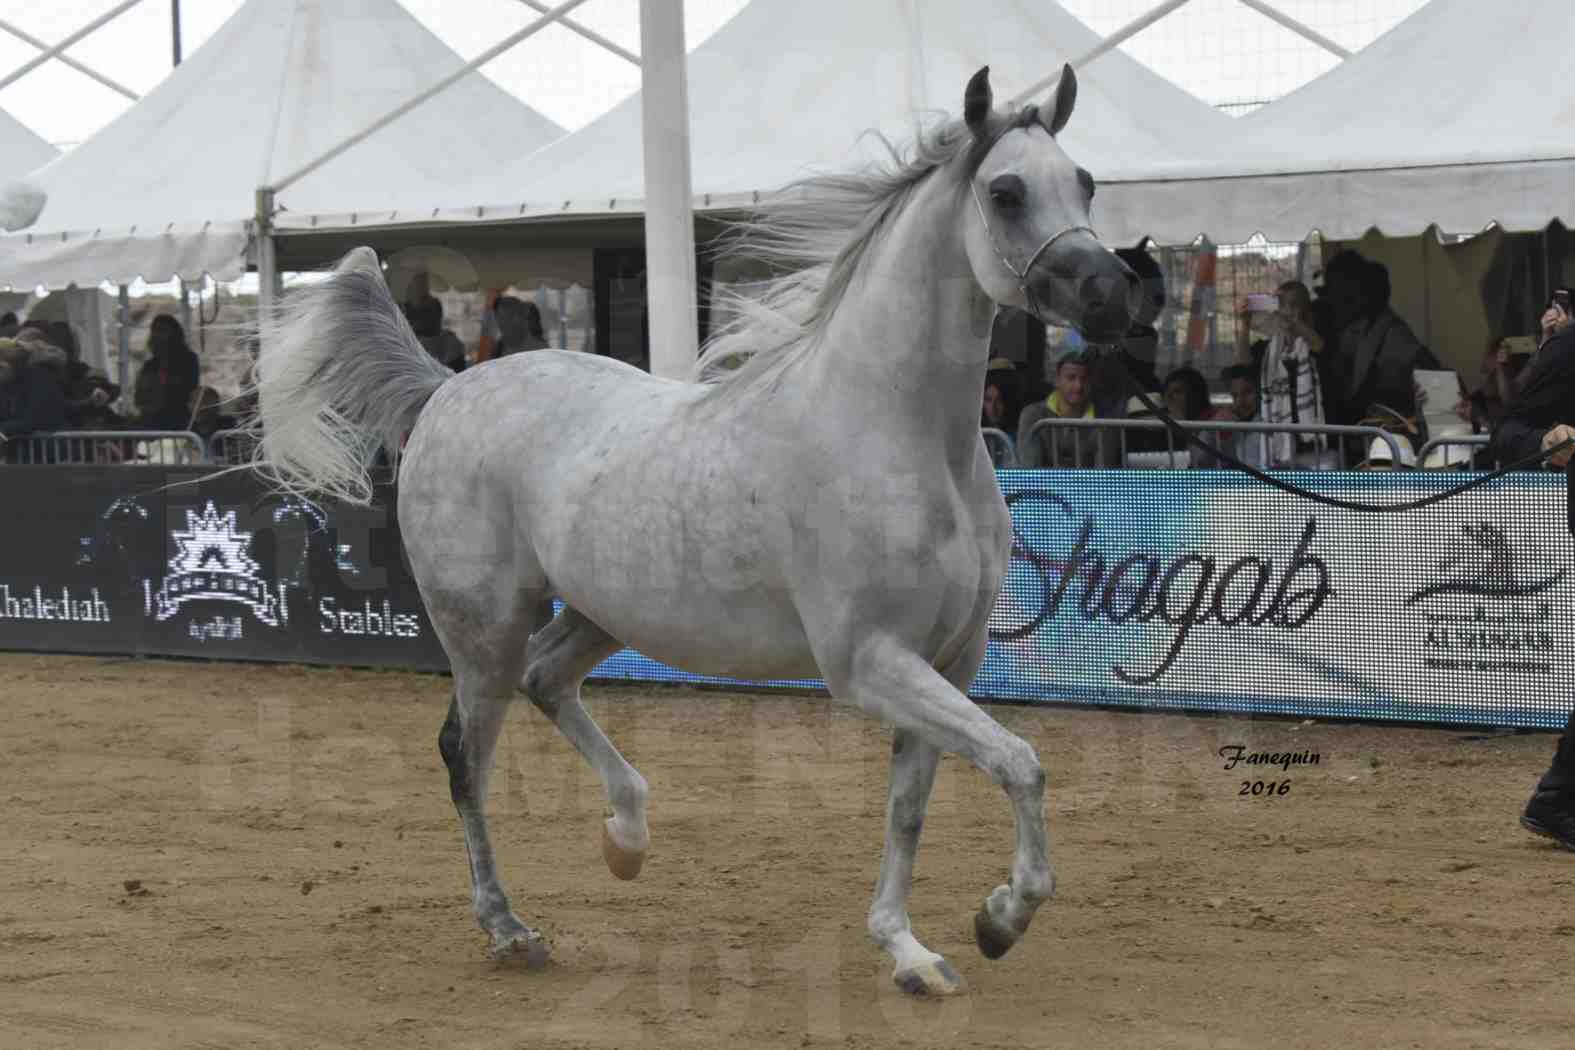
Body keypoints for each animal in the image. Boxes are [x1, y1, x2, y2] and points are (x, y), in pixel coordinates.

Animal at [261, 69, 1146, 1001]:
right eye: (1005, 193)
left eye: (1084, 182)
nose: (1111, 296)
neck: (896, 433)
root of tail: (445, 389)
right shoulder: (870, 662)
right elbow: (1020, 761)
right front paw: (1001, 919)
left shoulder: (948, 660)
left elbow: (912, 805)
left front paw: (912, 951)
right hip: (482, 627)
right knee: (466, 752)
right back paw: (508, 928)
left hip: (602, 611)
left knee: (547, 681)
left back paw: (626, 838)